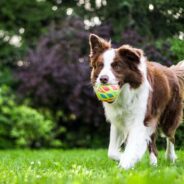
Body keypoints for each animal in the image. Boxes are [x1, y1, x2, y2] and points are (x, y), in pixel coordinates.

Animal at [88, 33, 183, 170]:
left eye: (117, 66)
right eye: (100, 65)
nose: (103, 79)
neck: (125, 94)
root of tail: (172, 71)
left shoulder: (140, 120)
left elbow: (132, 147)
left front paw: (125, 164)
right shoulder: (118, 120)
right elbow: (111, 151)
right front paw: (124, 158)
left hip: (169, 116)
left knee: (170, 136)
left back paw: (171, 158)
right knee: (153, 144)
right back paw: (154, 165)